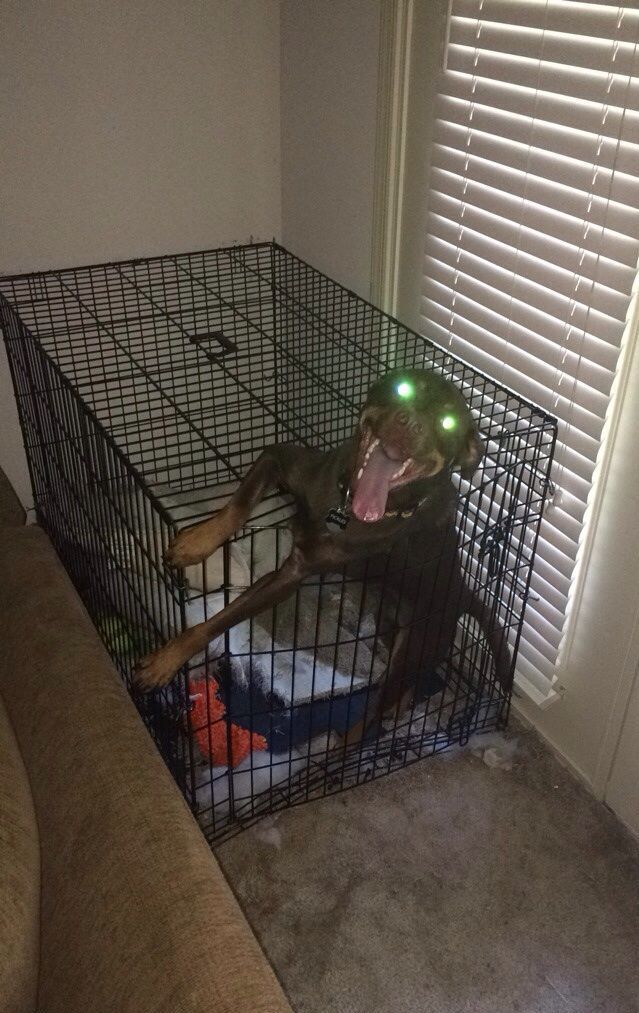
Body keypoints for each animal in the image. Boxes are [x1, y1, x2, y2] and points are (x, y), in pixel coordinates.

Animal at [135, 368, 511, 725]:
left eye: (448, 422)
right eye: (404, 387)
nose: (410, 423)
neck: (345, 505)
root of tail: (463, 590)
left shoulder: (293, 574)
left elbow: (220, 620)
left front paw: (167, 659)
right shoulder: (279, 460)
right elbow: (236, 506)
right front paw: (196, 542)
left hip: (415, 646)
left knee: (366, 721)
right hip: (390, 623)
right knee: (402, 691)